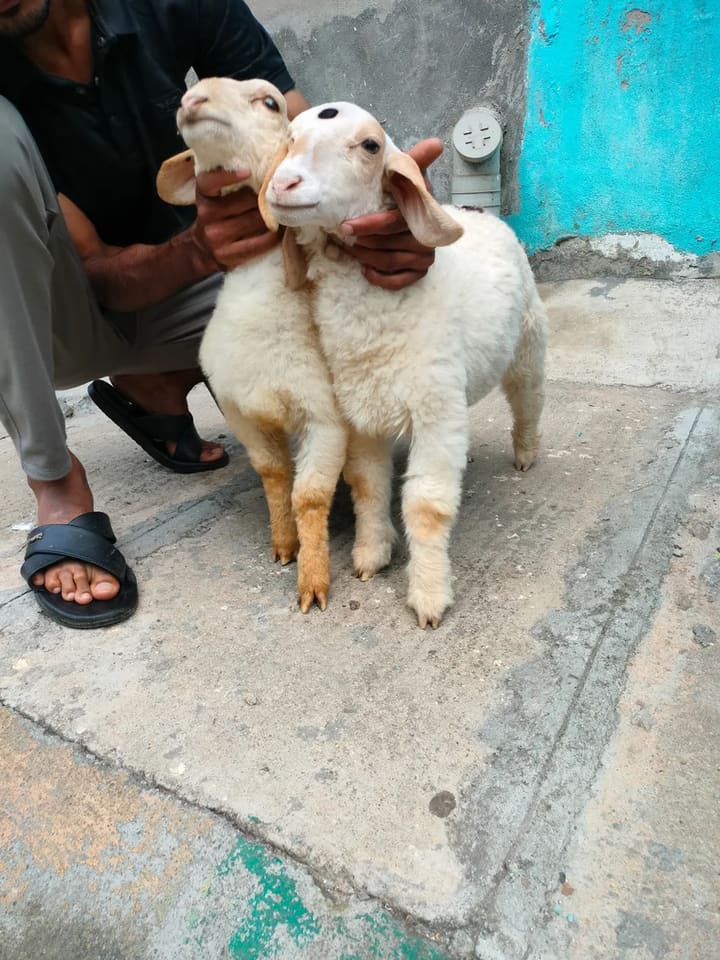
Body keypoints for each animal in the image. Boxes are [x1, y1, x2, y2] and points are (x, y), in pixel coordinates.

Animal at [156, 78, 348, 613]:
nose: (192, 100)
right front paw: (284, 544)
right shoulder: (241, 411)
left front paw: (313, 582)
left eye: (269, 102)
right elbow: (274, 475)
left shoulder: (326, 419)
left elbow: (309, 496)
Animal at [258, 101, 548, 629]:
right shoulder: (362, 413)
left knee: (529, 397)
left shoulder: (433, 412)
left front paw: (429, 596)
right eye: (289, 138)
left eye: (370, 145)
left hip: (528, 342)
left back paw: (525, 452)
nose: (284, 184)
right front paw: (371, 555)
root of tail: (477, 213)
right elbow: (368, 485)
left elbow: (427, 505)